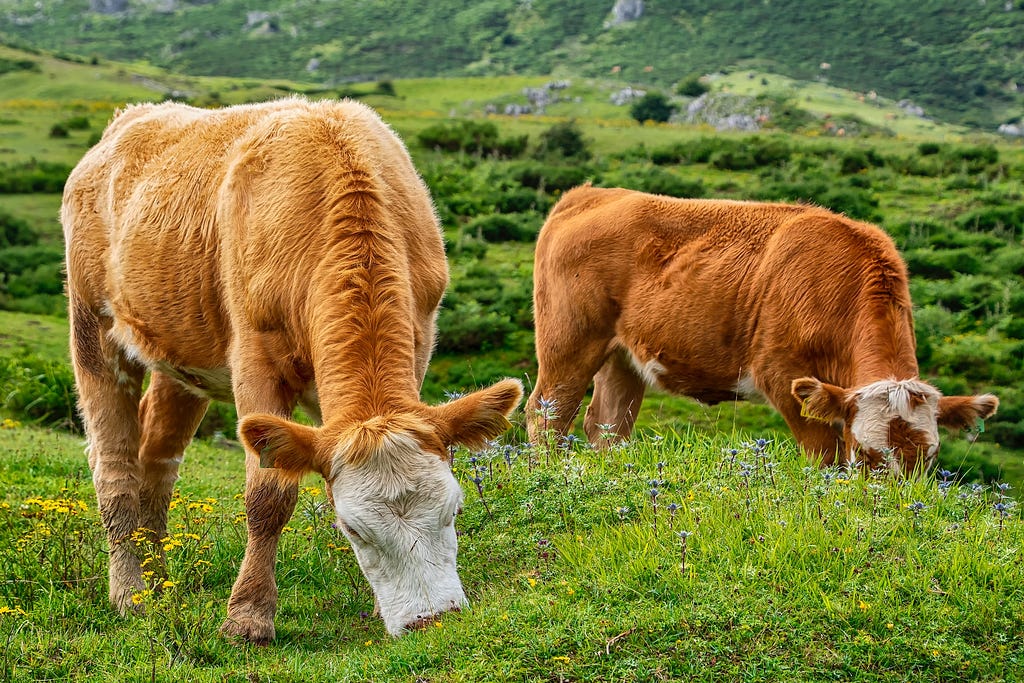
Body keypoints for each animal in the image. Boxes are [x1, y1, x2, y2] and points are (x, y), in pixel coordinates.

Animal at [64, 98, 524, 643]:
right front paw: (248, 616)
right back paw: (131, 594)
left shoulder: (417, 342)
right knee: (114, 465)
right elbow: (269, 496)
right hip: (91, 326)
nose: (430, 618)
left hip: (182, 350)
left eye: (455, 509)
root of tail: (134, 116)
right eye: (353, 528)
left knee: (157, 460)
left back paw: (159, 582)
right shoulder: (254, 360)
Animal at [528, 185, 999, 475]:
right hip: (568, 343)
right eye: (866, 454)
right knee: (546, 415)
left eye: (929, 457)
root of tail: (591, 194)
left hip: (622, 357)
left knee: (607, 426)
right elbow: (826, 458)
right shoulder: (784, 376)